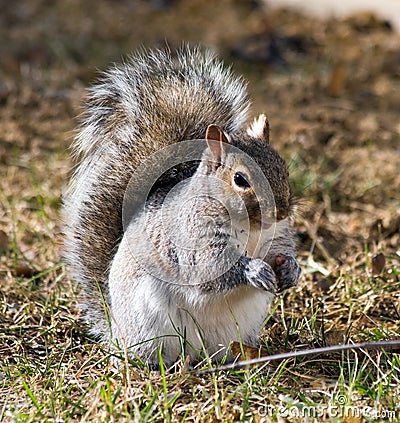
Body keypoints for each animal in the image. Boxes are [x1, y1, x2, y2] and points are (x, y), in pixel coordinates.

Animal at [62, 45, 300, 364]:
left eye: (283, 168)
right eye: (240, 179)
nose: (282, 211)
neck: (250, 227)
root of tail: (116, 330)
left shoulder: (277, 236)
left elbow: (281, 252)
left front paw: (290, 269)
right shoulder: (193, 239)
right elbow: (210, 271)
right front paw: (254, 271)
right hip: (150, 325)